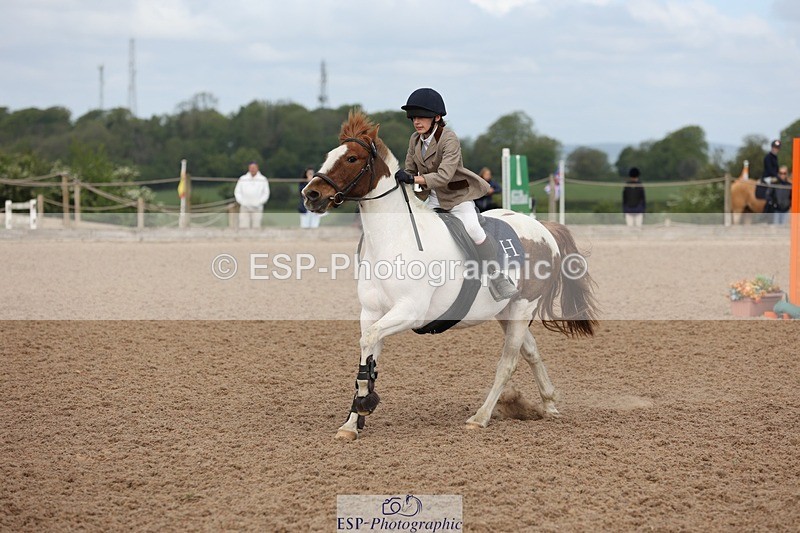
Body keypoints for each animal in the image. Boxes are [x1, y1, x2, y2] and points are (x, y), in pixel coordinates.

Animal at [302, 111, 599, 440]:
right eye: (330, 156)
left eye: (352, 158)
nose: (311, 194)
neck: (394, 237)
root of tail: (543, 228)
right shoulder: (371, 313)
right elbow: (366, 359)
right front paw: (353, 422)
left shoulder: (409, 311)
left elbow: (369, 346)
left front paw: (363, 407)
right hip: (506, 310)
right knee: (531, 352)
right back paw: (549, 404)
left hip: (523, 307)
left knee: (508, 362)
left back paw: (480, 417)